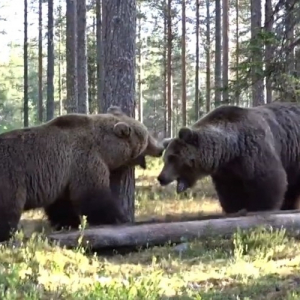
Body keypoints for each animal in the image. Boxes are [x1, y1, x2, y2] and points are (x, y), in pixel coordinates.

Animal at [0, 106, 164, 243]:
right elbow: (93, 198)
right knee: (8, 211)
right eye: (147, 137)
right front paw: (119, 217)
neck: (104, 148)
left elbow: (61, 206)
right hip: (11, 181)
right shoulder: (85, 162)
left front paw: (68, 223)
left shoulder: (63, 178)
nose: (161, 149)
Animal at [158, 102, 300, 214]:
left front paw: (261, 207)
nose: (161, 178)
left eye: (173, 157)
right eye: (165, 159)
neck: (231, 150)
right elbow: (230, 192)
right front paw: (235, 208)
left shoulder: (256, 152)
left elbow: (269, 181)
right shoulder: (227, 172)